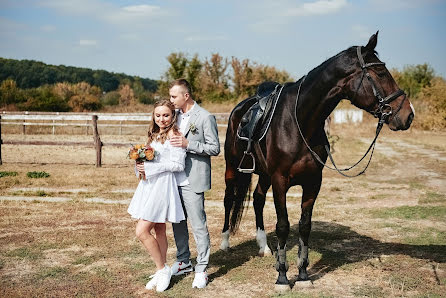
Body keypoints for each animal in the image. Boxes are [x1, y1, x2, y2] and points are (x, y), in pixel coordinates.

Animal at [220, 32, 414, 288]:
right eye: (381, 73)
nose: (408, 114)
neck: (299, 121)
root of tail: (240, 108)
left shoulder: (313, 182)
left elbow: (304, 226)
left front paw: (302, 275)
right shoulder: (280, 181)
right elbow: (283, 225)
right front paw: (282, 277)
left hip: (263, 174)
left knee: (258, 199)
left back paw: (263, 246)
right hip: (232, 168)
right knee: (229, 199)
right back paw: (224, 242)